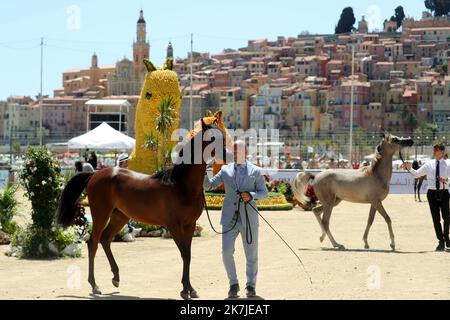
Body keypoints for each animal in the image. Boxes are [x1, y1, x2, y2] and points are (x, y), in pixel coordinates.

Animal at [56, 115, 225, 300]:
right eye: (212, 138)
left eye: (223, 136)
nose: (227, 155)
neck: (180, 185)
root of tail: (95, 174)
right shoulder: (174, 226)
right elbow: (184, 254)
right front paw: (185, 290)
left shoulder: (190, 225)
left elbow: (188, 255)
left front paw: (190, 289)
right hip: (101, 214)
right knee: (93, 242)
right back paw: (95, 286)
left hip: (120, 216)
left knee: (105, 239)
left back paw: (116, 277)